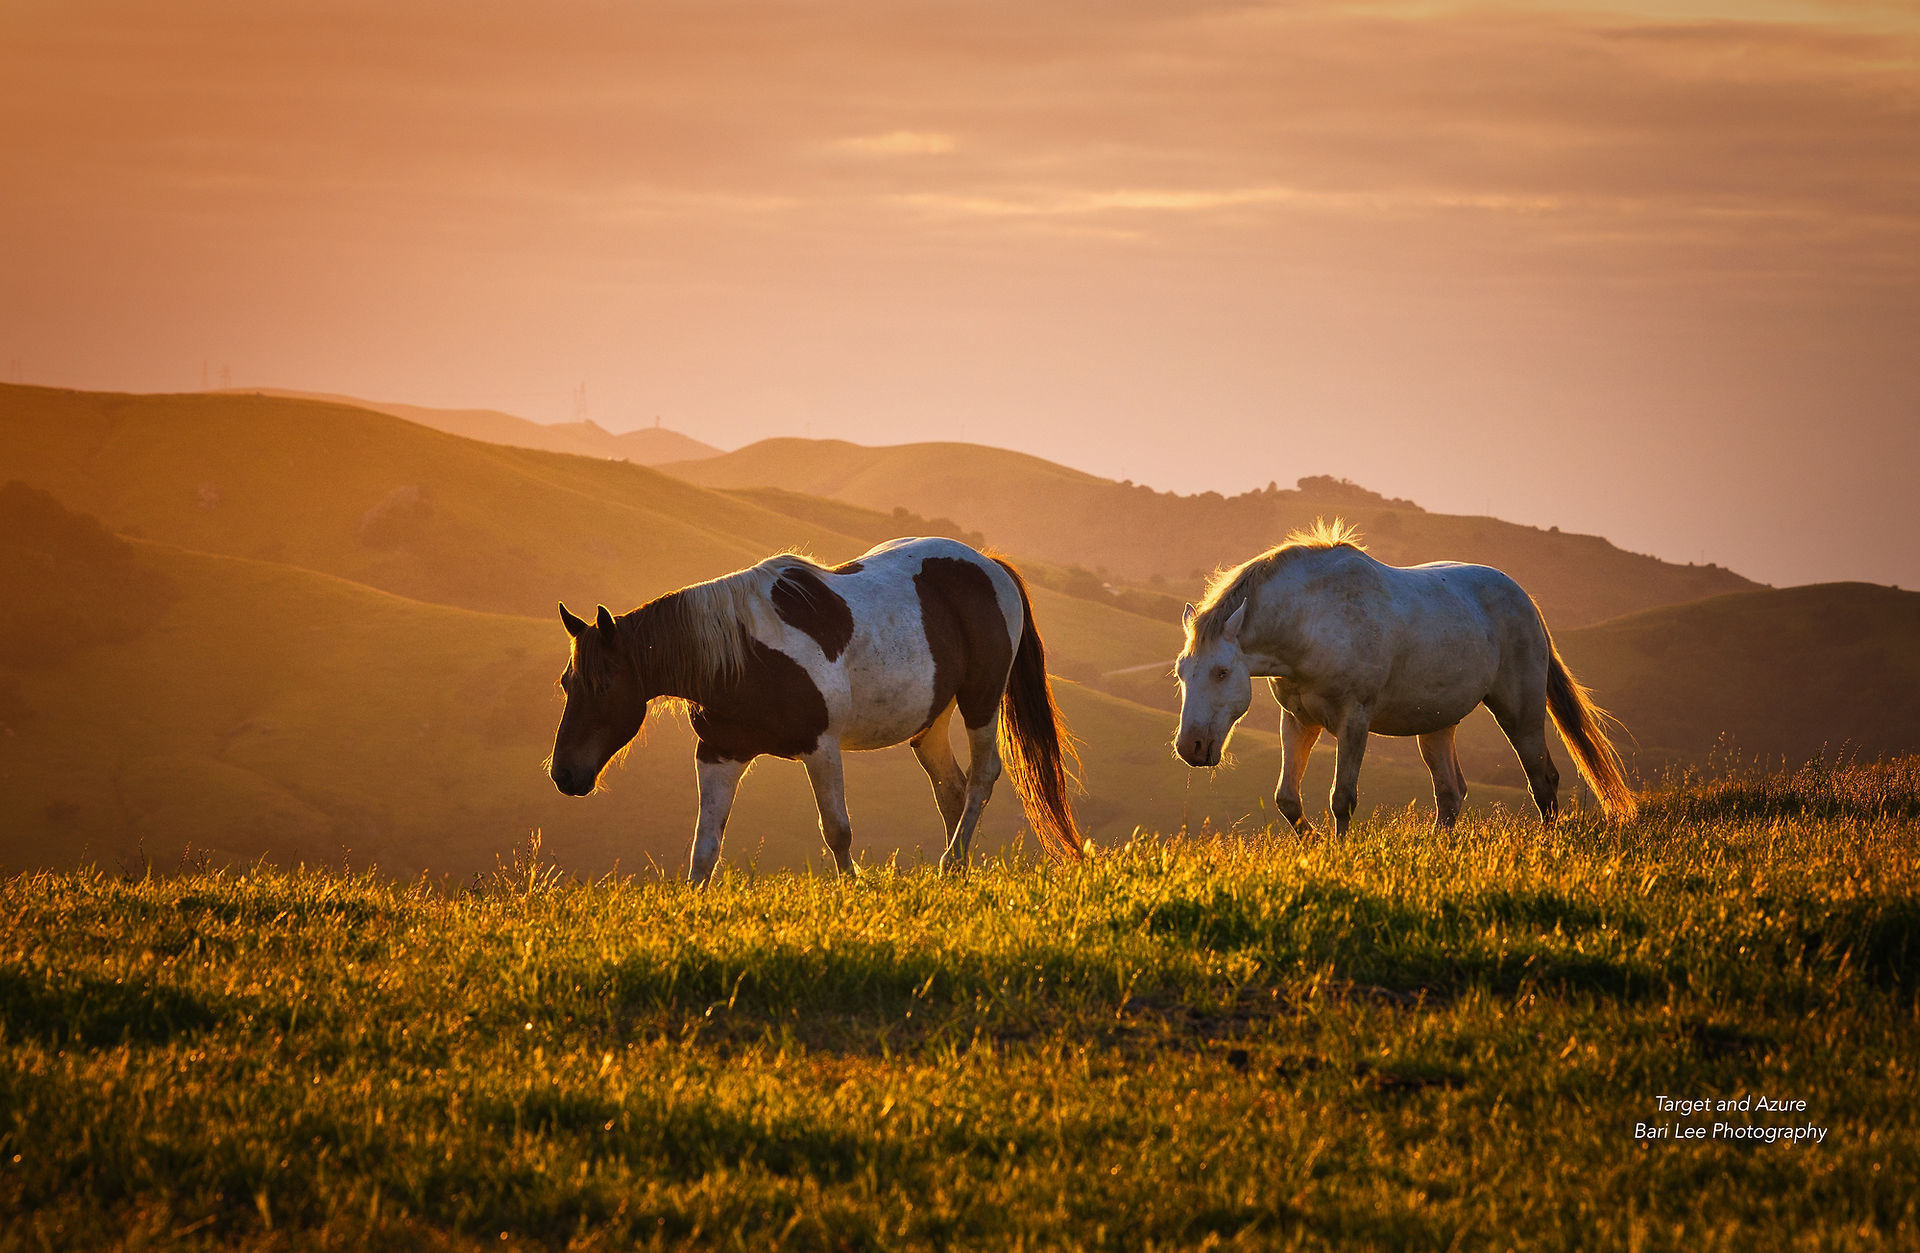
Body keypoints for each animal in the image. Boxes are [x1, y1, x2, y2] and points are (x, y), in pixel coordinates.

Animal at [547, 537, 1085, 884]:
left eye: (603, 684)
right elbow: (705, 848)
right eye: (566, 683)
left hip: (981, 700)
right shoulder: (719, 754)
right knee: (951, 787)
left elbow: (838, 832)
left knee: (981, 776)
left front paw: (852, 890)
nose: (564, 774)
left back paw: (951, 863)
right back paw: (957, 869)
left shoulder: (821, 748)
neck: (743, 655)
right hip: (931, 721)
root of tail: (989, 565)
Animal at [1174, 519, 1635, 835]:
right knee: (1450, 793)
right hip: (1437, 724)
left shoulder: (1354, 720)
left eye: (1221, 672)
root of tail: (1526, 601)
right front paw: (1314, 844)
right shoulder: (1299, 720)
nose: (1190, 746)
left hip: (1519, 711)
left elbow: (1342, 799)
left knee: (1543, 778)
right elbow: (1287, 798)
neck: (1314, 619)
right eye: (1181, 673)